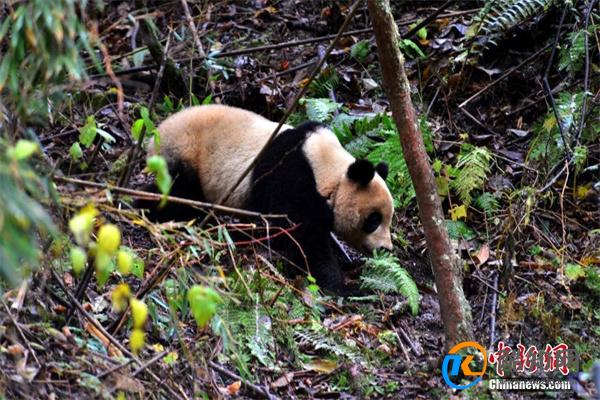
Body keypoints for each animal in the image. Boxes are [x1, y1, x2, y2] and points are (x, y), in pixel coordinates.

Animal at [148, 104, 396, 296]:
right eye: (374, 220)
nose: (386, 248)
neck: (329, 171)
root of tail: (157, 133)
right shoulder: (291, 179)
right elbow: (305, 238)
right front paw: (344, 287)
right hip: (184, 155)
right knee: (178, 196)